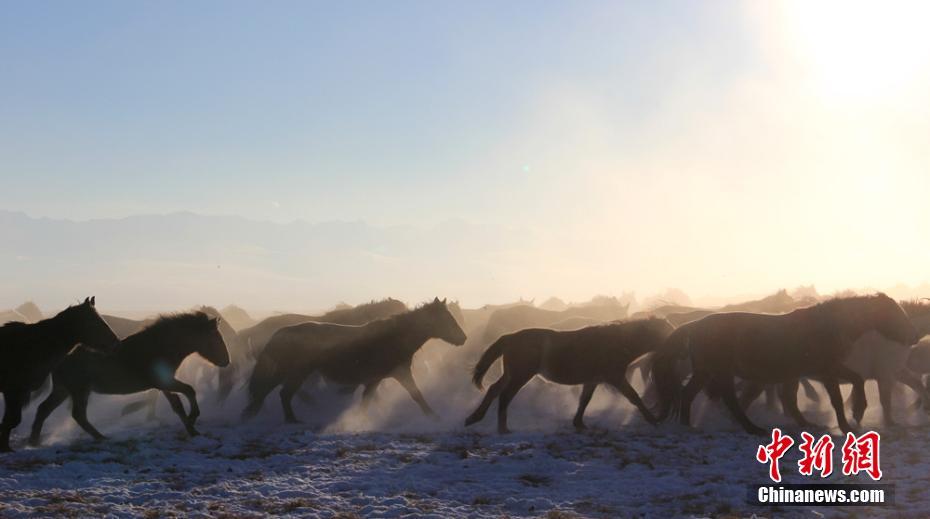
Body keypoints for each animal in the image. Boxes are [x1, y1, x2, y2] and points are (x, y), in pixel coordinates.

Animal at [0, 298, 118, 452]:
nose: (115, 342)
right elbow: (11, 420)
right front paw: (5, 448)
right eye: (94, 321)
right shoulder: (13, 390)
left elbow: (10, 420)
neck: (31, 346)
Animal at [30, 310, 227, 444]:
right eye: (215, 338)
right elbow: (189, 391)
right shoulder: (164, 382)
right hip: (79, 390)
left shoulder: (164, 385)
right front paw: (193, 419)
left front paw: (192, 429)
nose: (226, 360)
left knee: (43, 409)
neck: (159, 346)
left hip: (63, 390)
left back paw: (34, 441)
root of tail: (61, 357)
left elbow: (177, 404)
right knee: (77, 415)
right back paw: (101, 437)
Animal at [245, 298, 468, 424]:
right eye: (447, 318)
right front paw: (434, 417)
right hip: (292, 373)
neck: (393, 337)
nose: (463, 338)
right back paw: (287, 419)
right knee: (279, 393)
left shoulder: (378, 378)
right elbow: (415, 395)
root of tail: (279, 333)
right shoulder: (397, 374)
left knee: (275, 393)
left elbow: (369, 400)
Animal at [468, 318, 672, 432]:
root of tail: (510, 337)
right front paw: (653, 419)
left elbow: (584, 401)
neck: (617, 342)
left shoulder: (592, 381)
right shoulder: (615, 378)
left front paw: (579, 423)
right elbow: (634, 397)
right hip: (520, 375)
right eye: (666, 330)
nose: (674, 341)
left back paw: (474, 418)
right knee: (505, 396)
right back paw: (503, 428)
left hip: (511, 374)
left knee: (494, 390)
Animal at [648, 294, 916, 436]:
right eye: (893, 312)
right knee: (730, 400)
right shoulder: (825, 371)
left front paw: (816, 423)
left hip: (705, 372)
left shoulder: (806, 373)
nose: (911, 336)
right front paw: (849, 419)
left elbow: (796, 398)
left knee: (689, 394)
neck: (826, 326)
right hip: (719, 372)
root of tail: (694, 326)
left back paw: (688, 426)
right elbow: (838, 399)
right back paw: (752, 428)